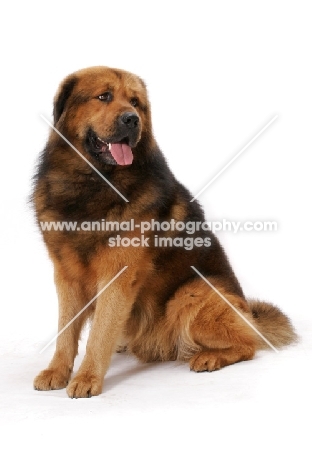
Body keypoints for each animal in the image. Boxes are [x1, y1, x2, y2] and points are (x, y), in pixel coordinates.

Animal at [32, 66, 298, 396]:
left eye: (135, 102)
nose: (132, 119)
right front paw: (57, 371)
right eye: (104, 96)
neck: (94, 182)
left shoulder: (118, 277)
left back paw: (210, 357)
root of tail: (248, 311)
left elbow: (99, 334)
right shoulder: (66, 275)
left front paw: (87, 377)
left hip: (192, 293)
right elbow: (65, 332)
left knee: (249, 344)